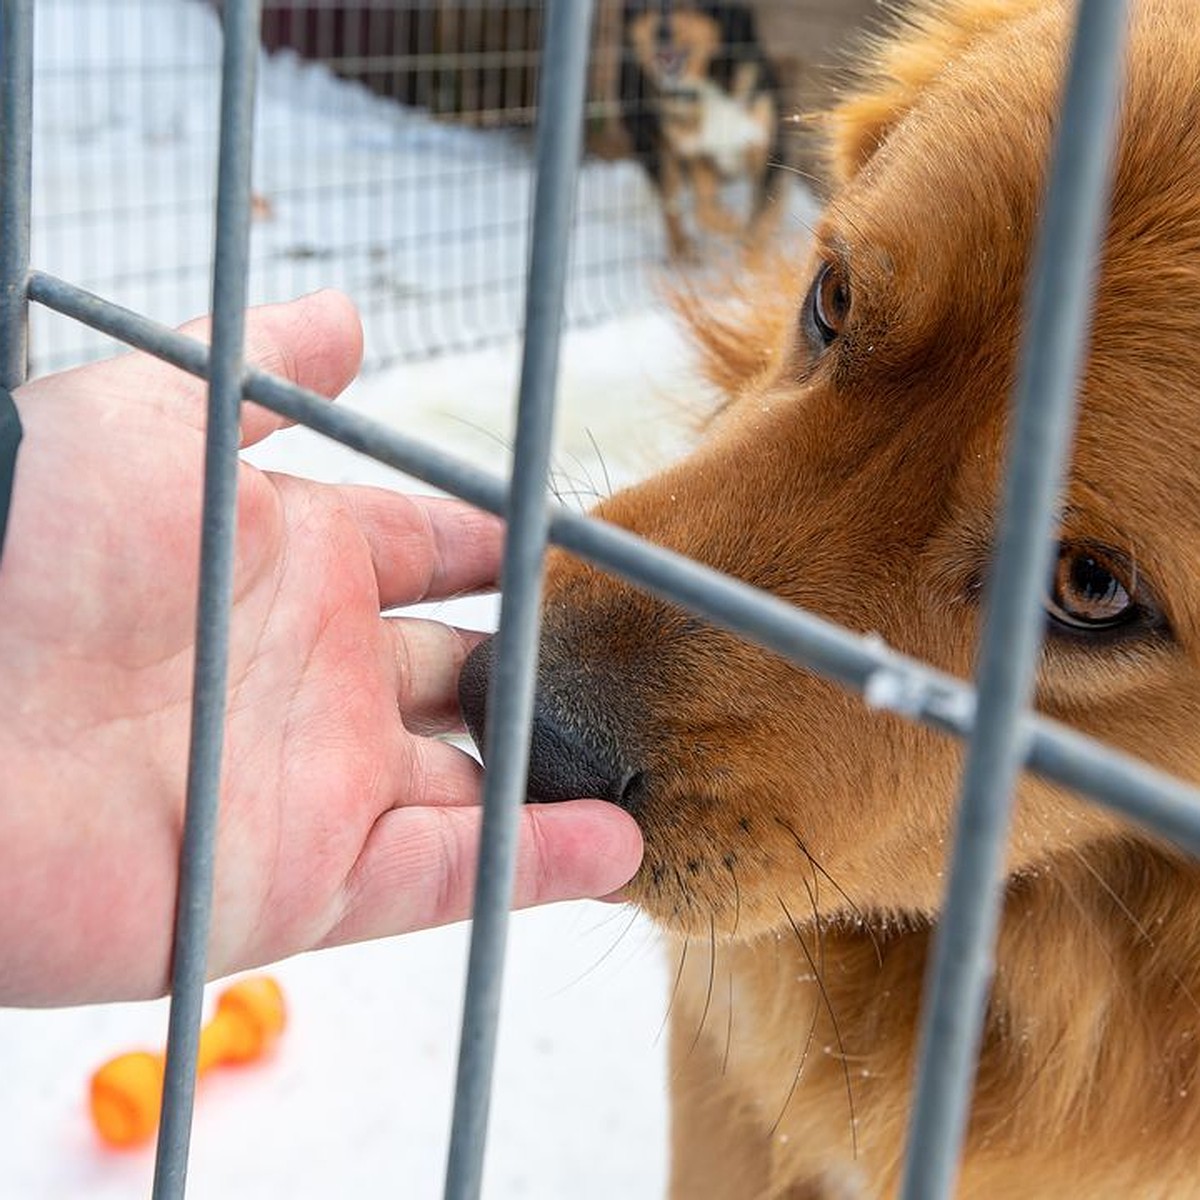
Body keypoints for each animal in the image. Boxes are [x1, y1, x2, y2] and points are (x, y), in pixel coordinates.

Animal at [624, 1, 782, 259]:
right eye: (646, 5)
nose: (661, 32)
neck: (710, 83)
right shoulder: (699, 153)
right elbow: (703, 212)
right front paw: (733, 225)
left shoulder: (770, 151)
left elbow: (759, 222)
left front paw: (751, 262)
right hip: (655, 149)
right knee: (671, 202)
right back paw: (681, 249)